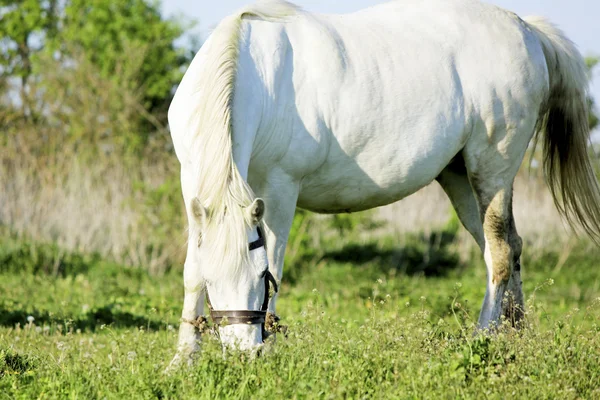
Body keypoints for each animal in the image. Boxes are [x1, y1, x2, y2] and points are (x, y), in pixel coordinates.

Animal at [166, 0, 600, 362]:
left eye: (261, 277)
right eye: (213, 279)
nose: (245, 352)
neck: (255, 78)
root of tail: (526, 29)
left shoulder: (280, 190)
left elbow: (277, 257)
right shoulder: (193, 187)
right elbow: (190, 272)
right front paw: (184, 359)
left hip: (492, 170)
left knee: (500, 253)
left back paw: (483, 338)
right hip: (459, 177)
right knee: (509, 245)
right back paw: (516, 334)